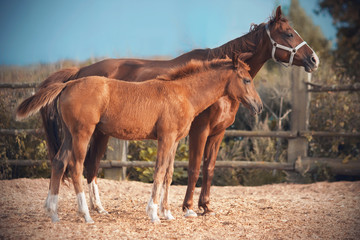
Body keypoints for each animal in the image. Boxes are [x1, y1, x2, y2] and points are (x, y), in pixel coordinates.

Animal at [16, 56, 262, 223]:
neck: (182, 93)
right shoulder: (166, 138)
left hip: (69, 134)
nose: (258, 106)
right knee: (76, 167)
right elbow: (159, 171)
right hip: (82, 133)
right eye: (246, 80)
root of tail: (69, 83)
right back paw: (86, 214)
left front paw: (167, 213)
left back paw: (53, 213)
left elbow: (169, 173)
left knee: (59, 162)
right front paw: (153, 213)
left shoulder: (175, 140)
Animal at [36, 5, 318, 217]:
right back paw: (94, 208)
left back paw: (90, 208)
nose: (314, 59)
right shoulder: (199, 130)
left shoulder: (218, 133)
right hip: (95, 133)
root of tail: (79, 73)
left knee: (83, 165)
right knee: (88, 165)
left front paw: (205, 206)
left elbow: (209, 167)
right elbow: (192, 167)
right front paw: (188, 208)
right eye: (289, 34)